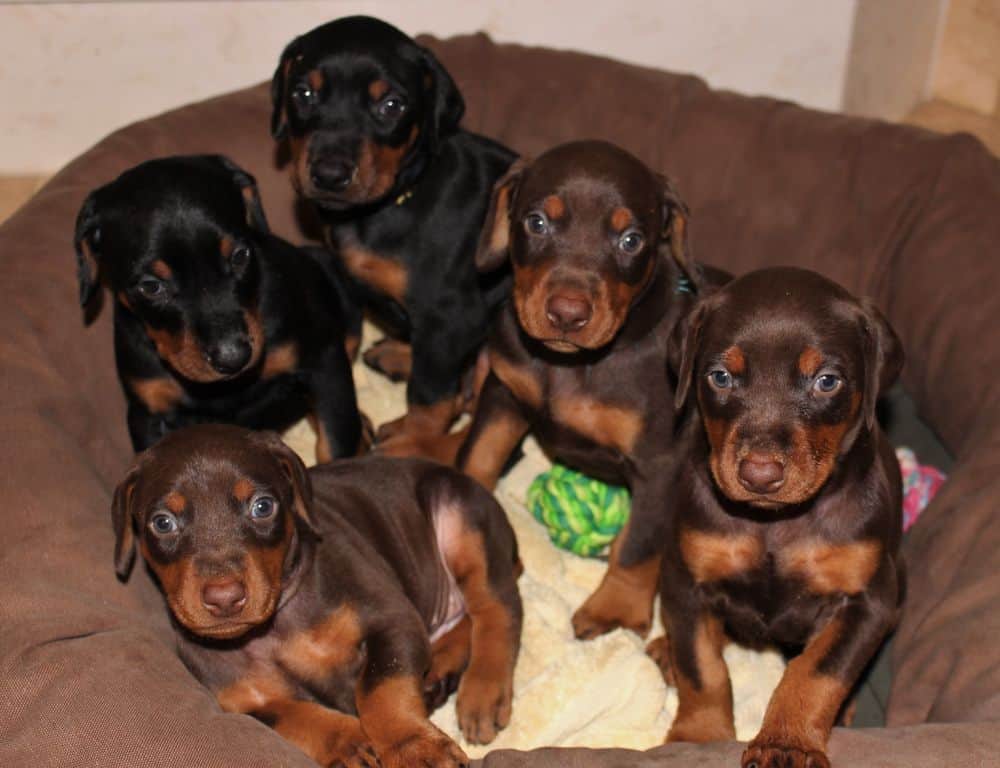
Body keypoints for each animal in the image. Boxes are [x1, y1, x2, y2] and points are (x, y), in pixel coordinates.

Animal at [74, 153, 366, 460]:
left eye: (240, 255)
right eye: (151, 286)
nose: (233, 358)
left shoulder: (324, 362)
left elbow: (335, 442)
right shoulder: (149, 412)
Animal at [114, 424, 524, 764]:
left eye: (262, 506)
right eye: (162, 522)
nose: (224, 597)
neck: (272, 629)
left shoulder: (392, 620)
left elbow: (380, 689)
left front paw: (414, 747)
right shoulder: (241, 702)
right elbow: (294, 716)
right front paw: (349, 742)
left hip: (460, 516)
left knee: (497, 608)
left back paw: (483, 690)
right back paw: (439, 665)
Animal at [272, 16, 516, 450]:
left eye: (391, 105)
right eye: (304, 94)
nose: (329, 175)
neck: (395, 202)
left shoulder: (452, 317)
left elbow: (430, 399)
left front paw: (412, 442)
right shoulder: (350, 279)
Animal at [458, 140, 724, 640]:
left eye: (631, 240)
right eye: (536, 222)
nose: (567, 313)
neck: (569, 364)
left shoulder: (660, 461)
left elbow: (640, 543)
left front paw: (615, 608)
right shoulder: (504, 394)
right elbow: (477, 456)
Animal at [656, 268, 908, 764]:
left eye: (827, 381)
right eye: (720, 376)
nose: (759, 474)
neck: (776, 523)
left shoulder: (868, 599)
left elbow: (817, 672)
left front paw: (786, 741)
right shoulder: (684, 579)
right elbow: (701, 667)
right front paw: (699, 737)